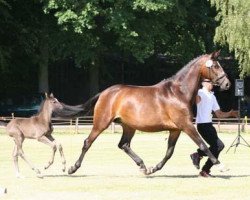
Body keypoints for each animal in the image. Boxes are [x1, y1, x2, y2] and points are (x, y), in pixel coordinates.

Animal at [64, 50, 230, 176]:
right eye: (215, 66)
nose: (227, 84)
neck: (178, 93)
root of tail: (105, 93)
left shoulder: (175, 129)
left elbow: (169, 152)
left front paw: (153, 169)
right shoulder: (186, 125)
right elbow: (203, 145)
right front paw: (221, 166)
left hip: (129, 126)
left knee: (123, 145)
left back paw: (143, 166)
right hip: (101, 123)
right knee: (88, 142)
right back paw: (72, 168)